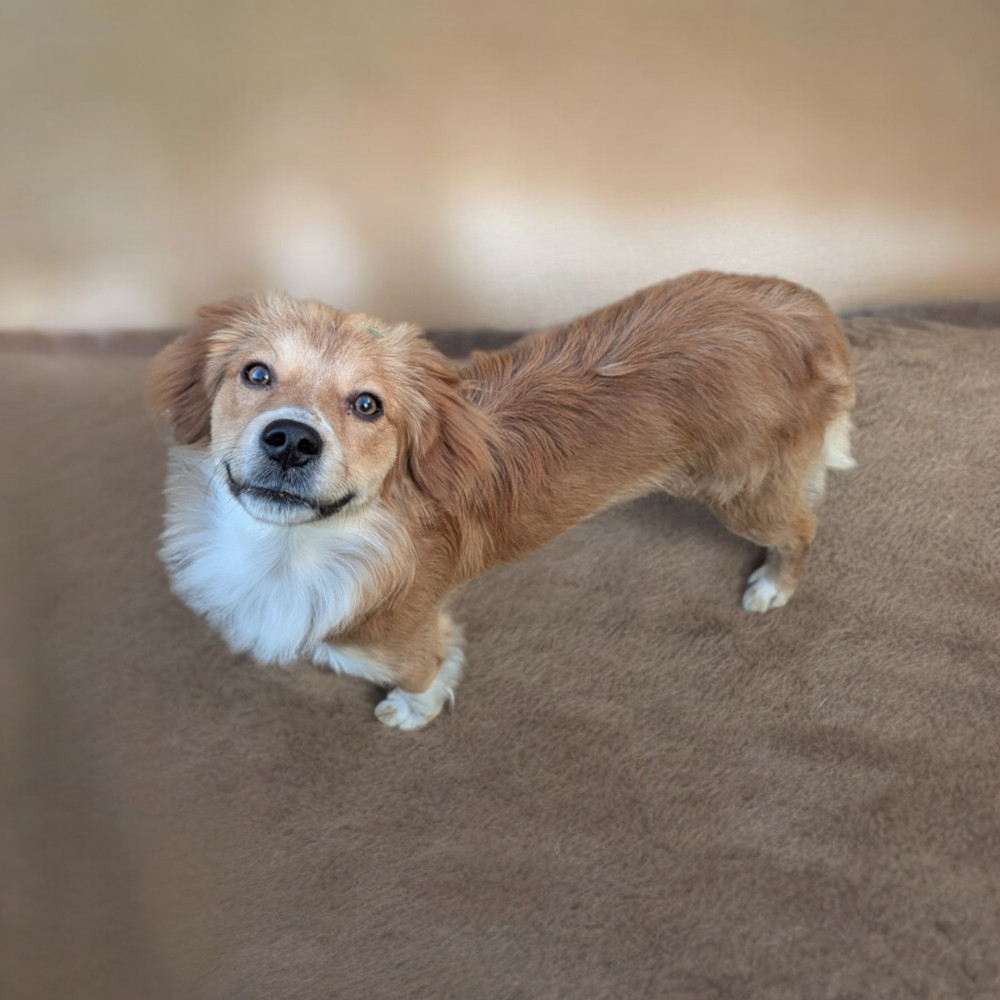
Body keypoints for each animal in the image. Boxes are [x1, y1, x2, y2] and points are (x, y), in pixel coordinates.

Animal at [146, 270, 852, 732]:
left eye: (368, 405)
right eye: (256, 373)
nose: (292, 440)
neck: (290, 549)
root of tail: (806, 310)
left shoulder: (409, 642)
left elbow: (425, 676)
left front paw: (410, 714)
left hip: (742, 494)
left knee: (804, 526)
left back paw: (773, 586)